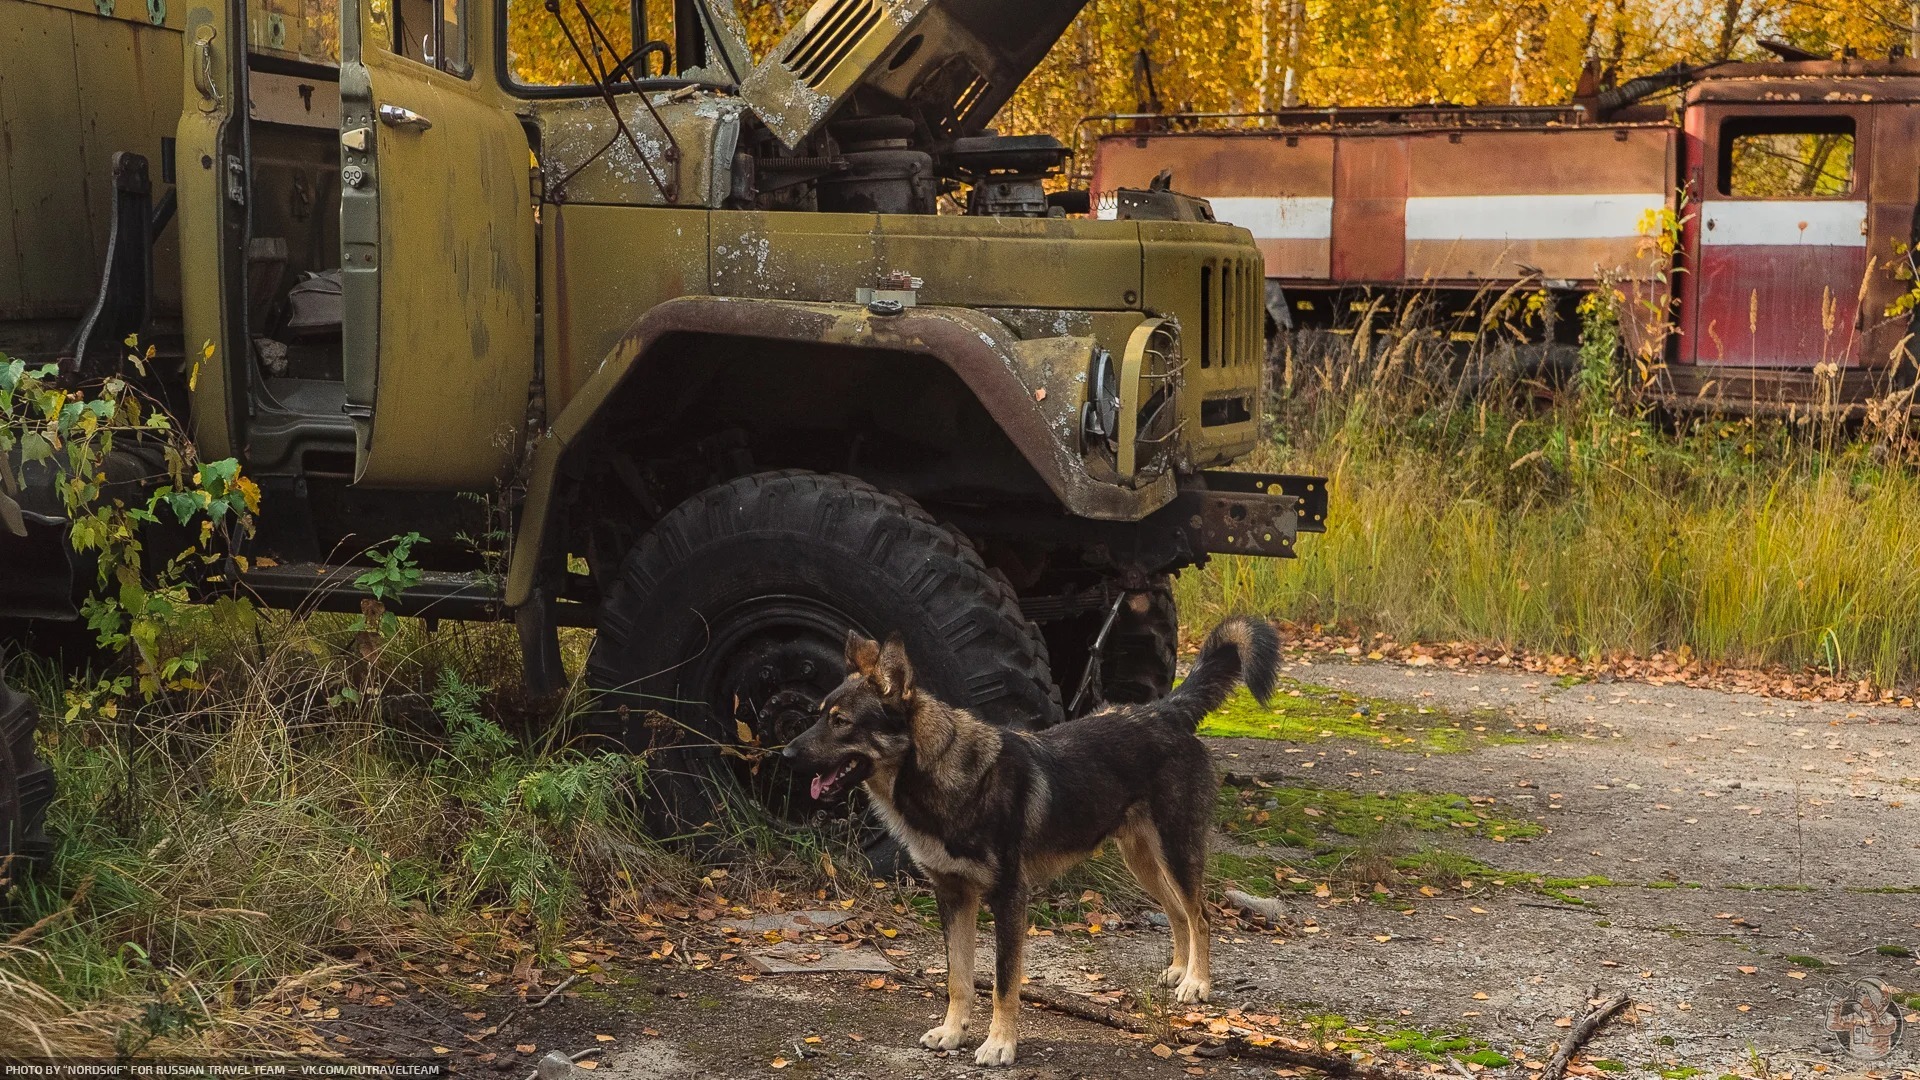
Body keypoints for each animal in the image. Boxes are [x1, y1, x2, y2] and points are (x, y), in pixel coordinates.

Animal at [779, 614, 1274, 1060]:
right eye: (819, 716)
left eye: (841, 722)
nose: (783, 755)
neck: (941, 776)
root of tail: (1163, 711)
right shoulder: (953, 896)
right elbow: (958, 979)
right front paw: (952, 1033)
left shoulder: (1008, 900)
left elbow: (1003, 984)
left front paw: (999, 1045)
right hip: (1143, 861)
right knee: (1177, 912)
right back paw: (1178, 971)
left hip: (1175, 851)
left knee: (1201, 915)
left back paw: (1197, 983)